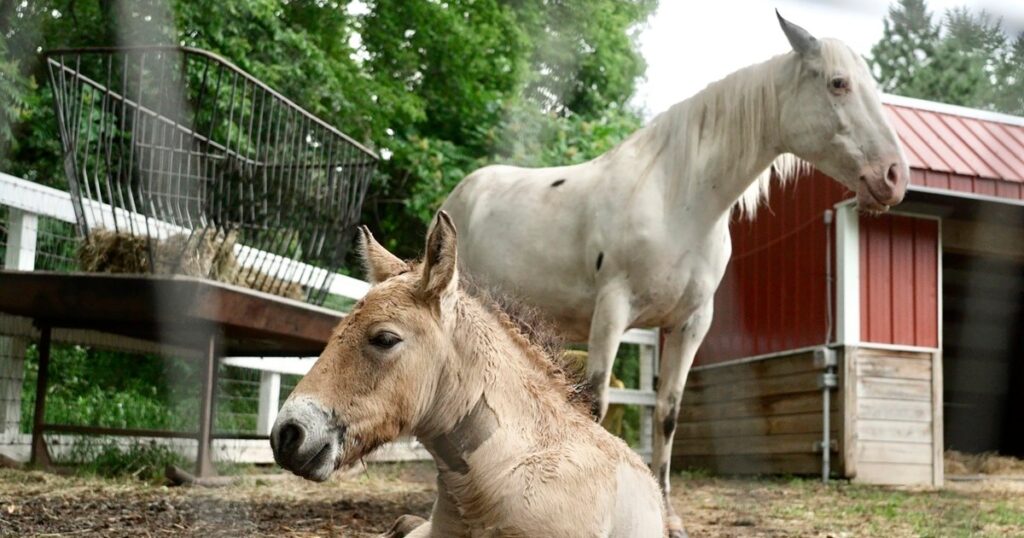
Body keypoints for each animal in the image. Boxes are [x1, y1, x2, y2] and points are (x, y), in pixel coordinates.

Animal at [439, 13, 909, 537]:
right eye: (838, 83)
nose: (894, 177)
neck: (677, 198)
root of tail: (459, 196)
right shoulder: (612, 312)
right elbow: (595, 405)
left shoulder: (689, 323)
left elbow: (667, 414)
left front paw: (670, 516)